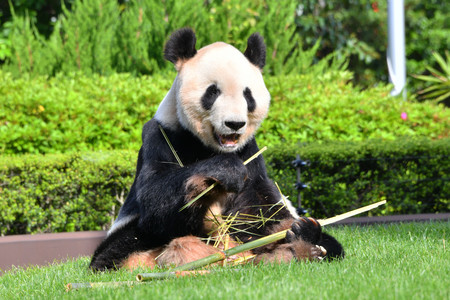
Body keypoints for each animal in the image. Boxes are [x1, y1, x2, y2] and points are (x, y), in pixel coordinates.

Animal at [90, 28, 344, 272]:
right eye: (212, 92)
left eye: (248, 95)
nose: (234, 123)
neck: (211, 147)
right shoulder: (161, 135)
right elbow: (156, 199)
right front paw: (222, 172)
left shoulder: (250, 152)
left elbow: (257, 208)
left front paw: (293, 232)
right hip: (130, 237)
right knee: (121, 249)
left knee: (329, 245)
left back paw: (300, 244)